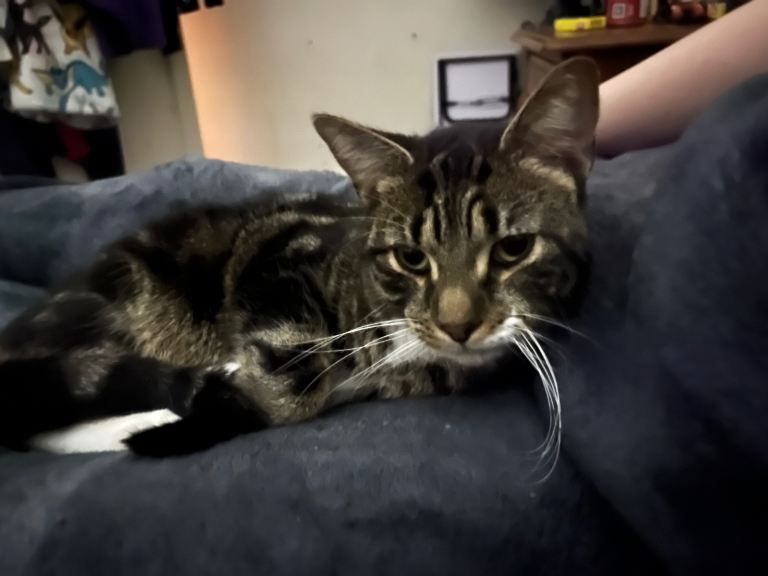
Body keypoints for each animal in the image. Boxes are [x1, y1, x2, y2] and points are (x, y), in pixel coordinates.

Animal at [0, 57, 599, 458]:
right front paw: (229, 390)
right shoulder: (281, 251)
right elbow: (289, 388)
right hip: (119, 301)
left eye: (513, 248)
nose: (458, 326)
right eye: (410, 257)